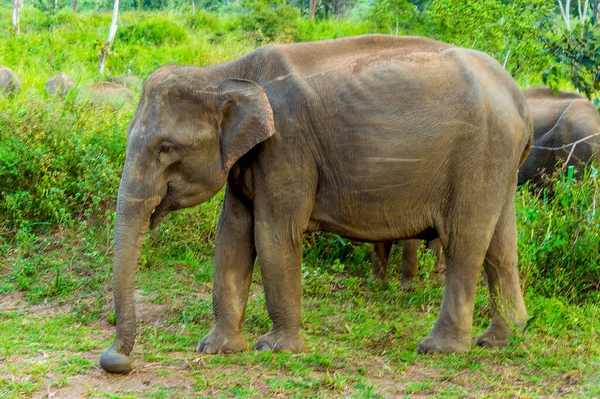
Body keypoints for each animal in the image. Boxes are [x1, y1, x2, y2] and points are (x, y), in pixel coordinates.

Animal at [101, 34, 532, 376]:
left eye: (166, 148)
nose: (116, 360)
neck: (225, 73)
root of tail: (518, 98)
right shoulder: (247, 158)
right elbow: (233, 236)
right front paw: (217, 348)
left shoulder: (287, 146)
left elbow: (273, 233)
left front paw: (275, 349)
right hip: (500, 162)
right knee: (501, 247)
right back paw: (500, 340)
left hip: (480, 154)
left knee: (465, 243)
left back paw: (439, 349)